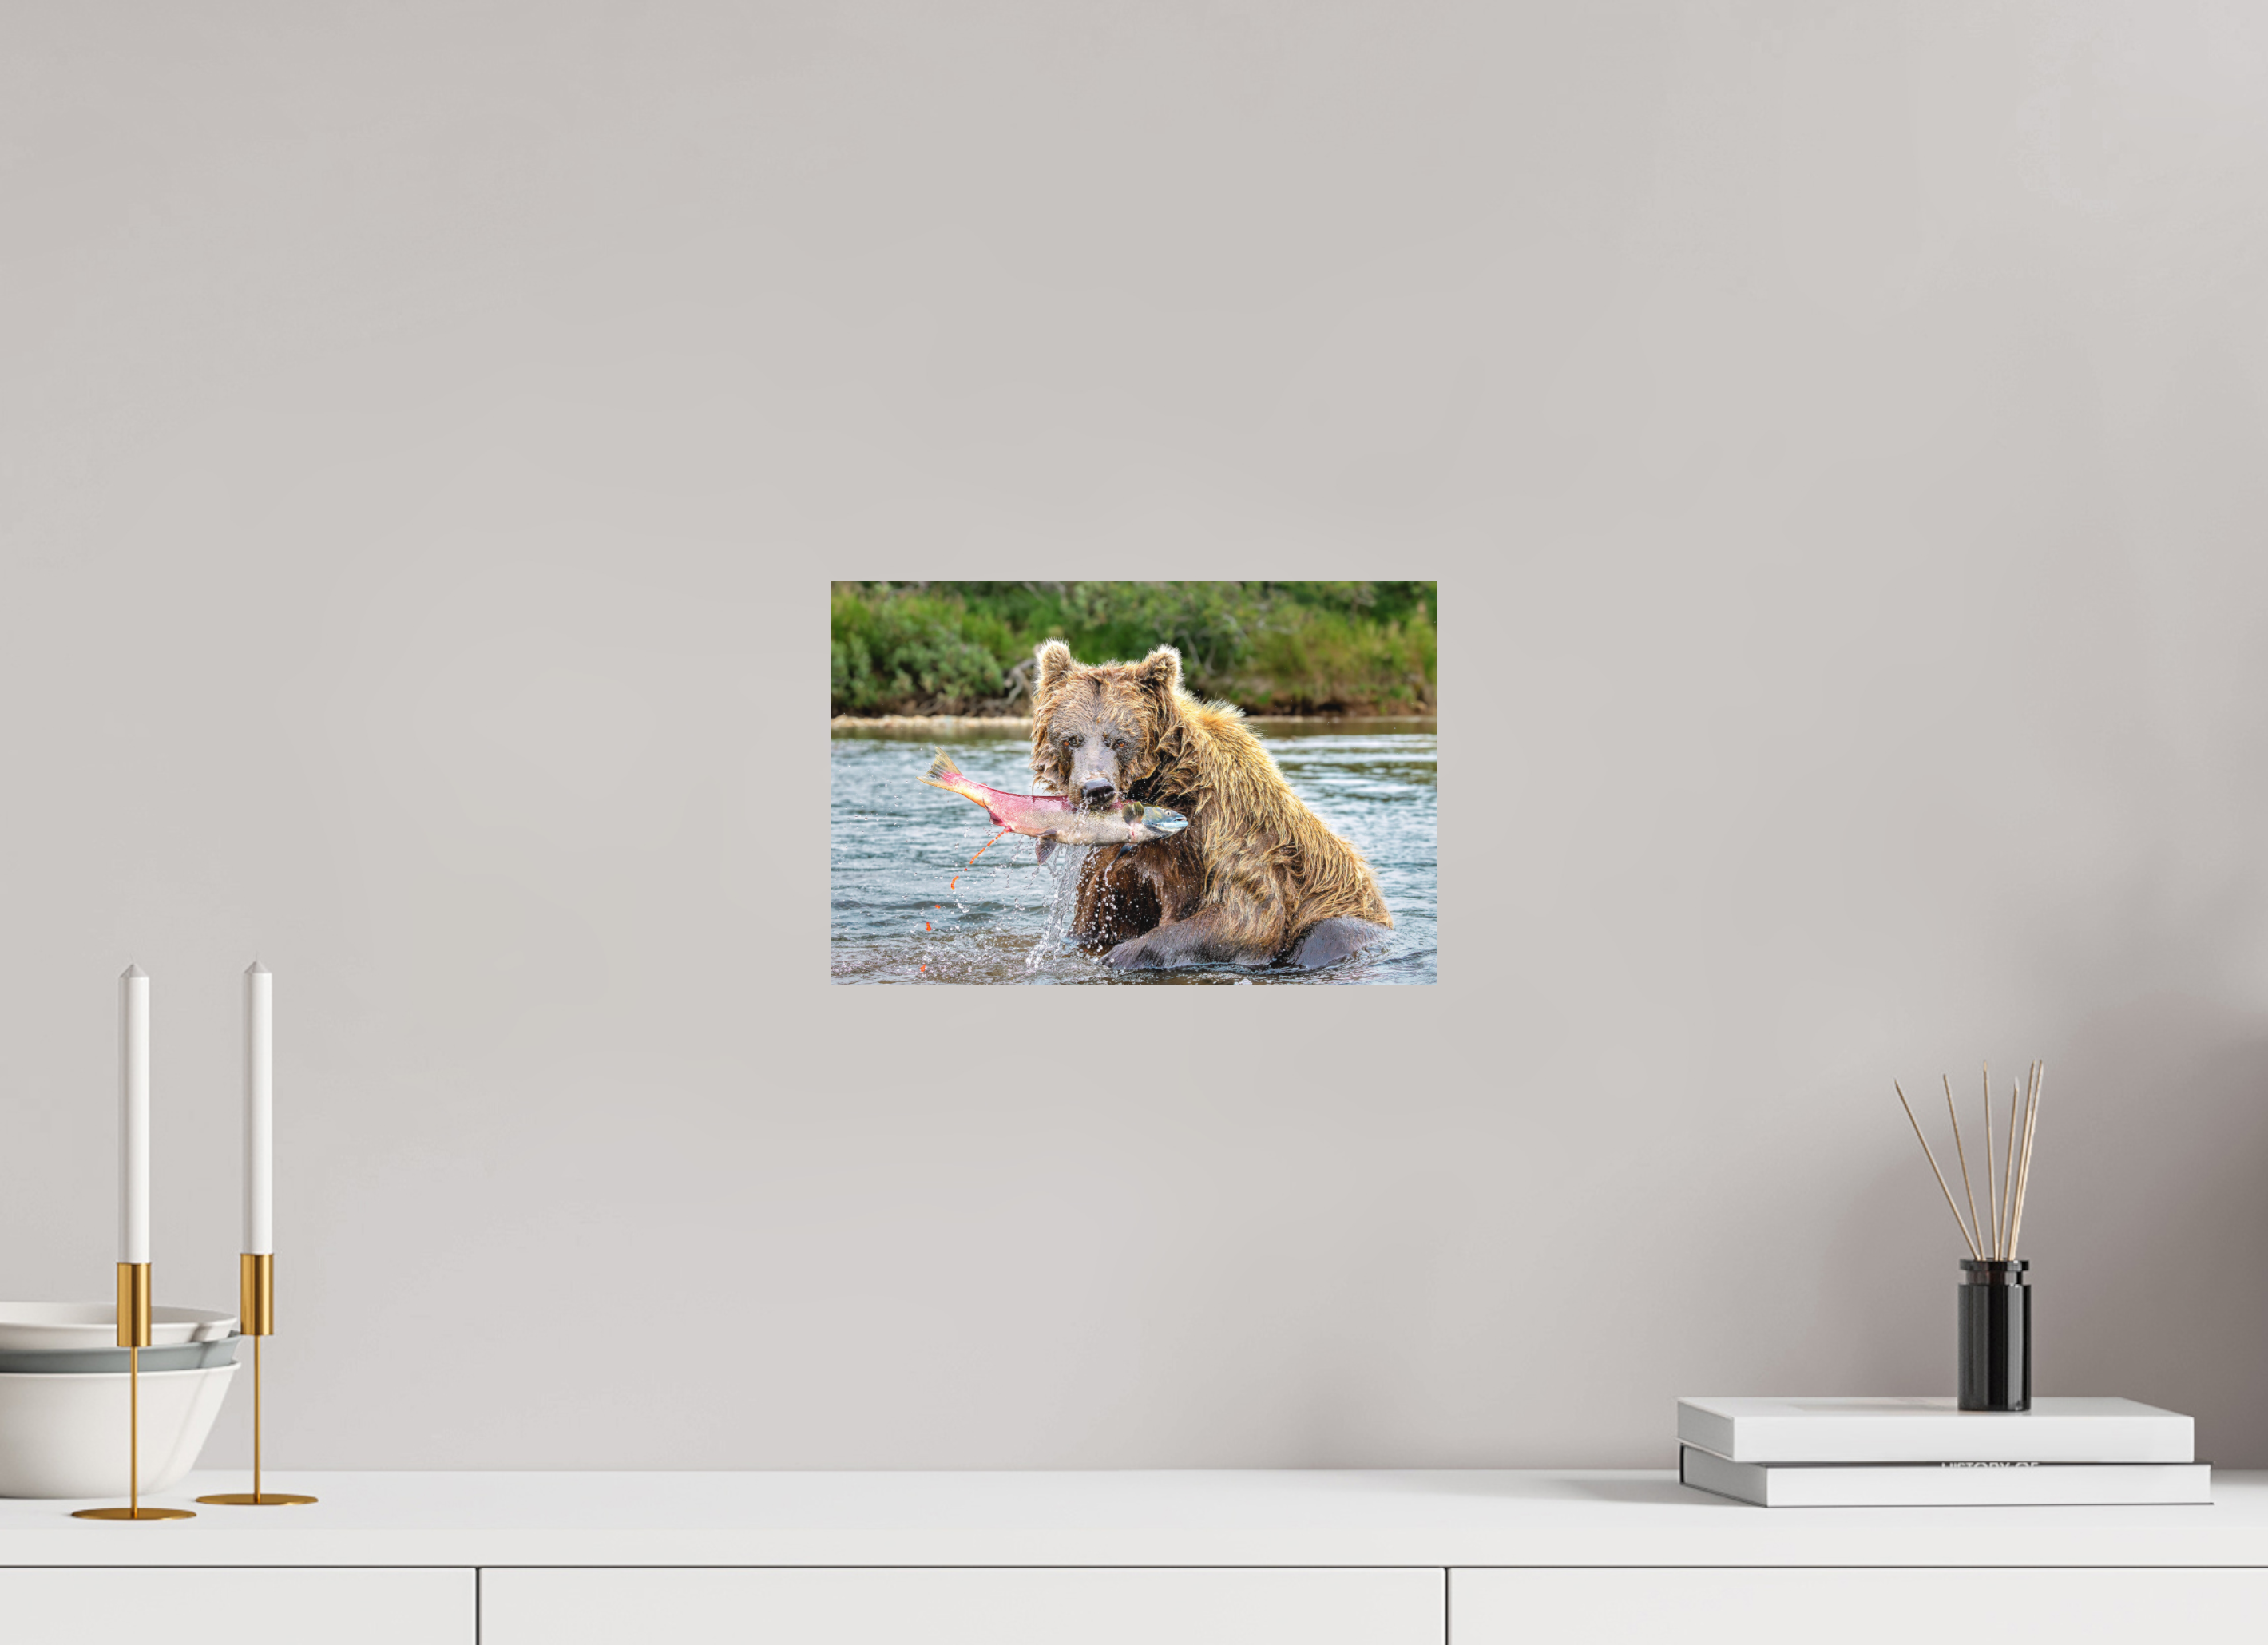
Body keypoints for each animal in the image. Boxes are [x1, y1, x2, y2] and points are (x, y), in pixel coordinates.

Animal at [1026, 638, 1393, 970]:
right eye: (1070, 739)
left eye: (1119, 741)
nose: (1096, 789)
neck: (1161, 786)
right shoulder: (1115, 865)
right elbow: (1095, 916)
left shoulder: (1228, 820)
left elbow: (1248, 914)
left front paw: (1121, 955)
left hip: (1346, 913)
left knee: (1330, 933)